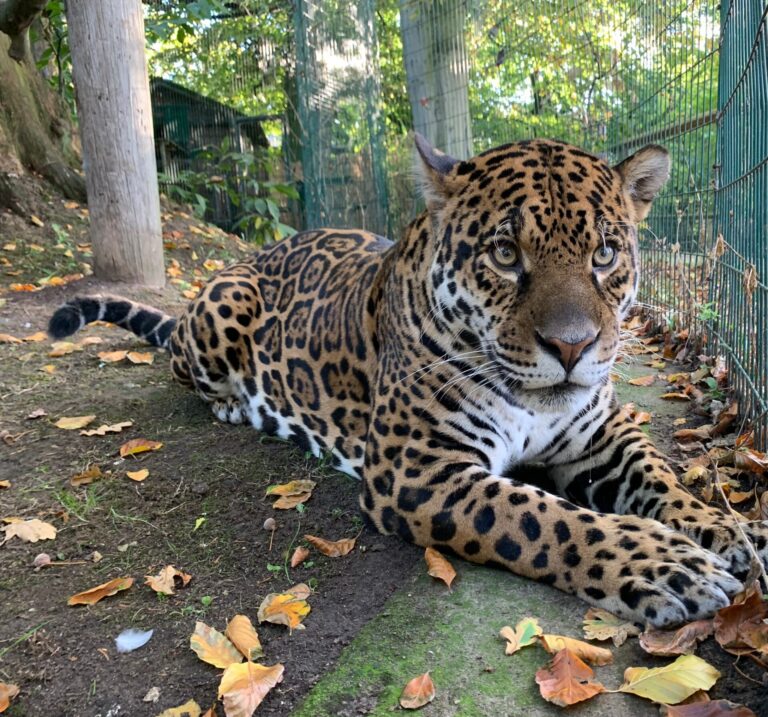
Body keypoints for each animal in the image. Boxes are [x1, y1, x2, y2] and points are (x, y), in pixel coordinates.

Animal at [49, 134, 768, 628]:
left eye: (605, 254)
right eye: (504, 254)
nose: (573, 346)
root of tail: (260, 251)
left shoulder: (602, 435)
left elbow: (660, 477)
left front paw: (729, 529)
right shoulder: (417, 466)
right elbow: (549, 520)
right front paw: (664, 567)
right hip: (223, 309)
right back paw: (241, 404)